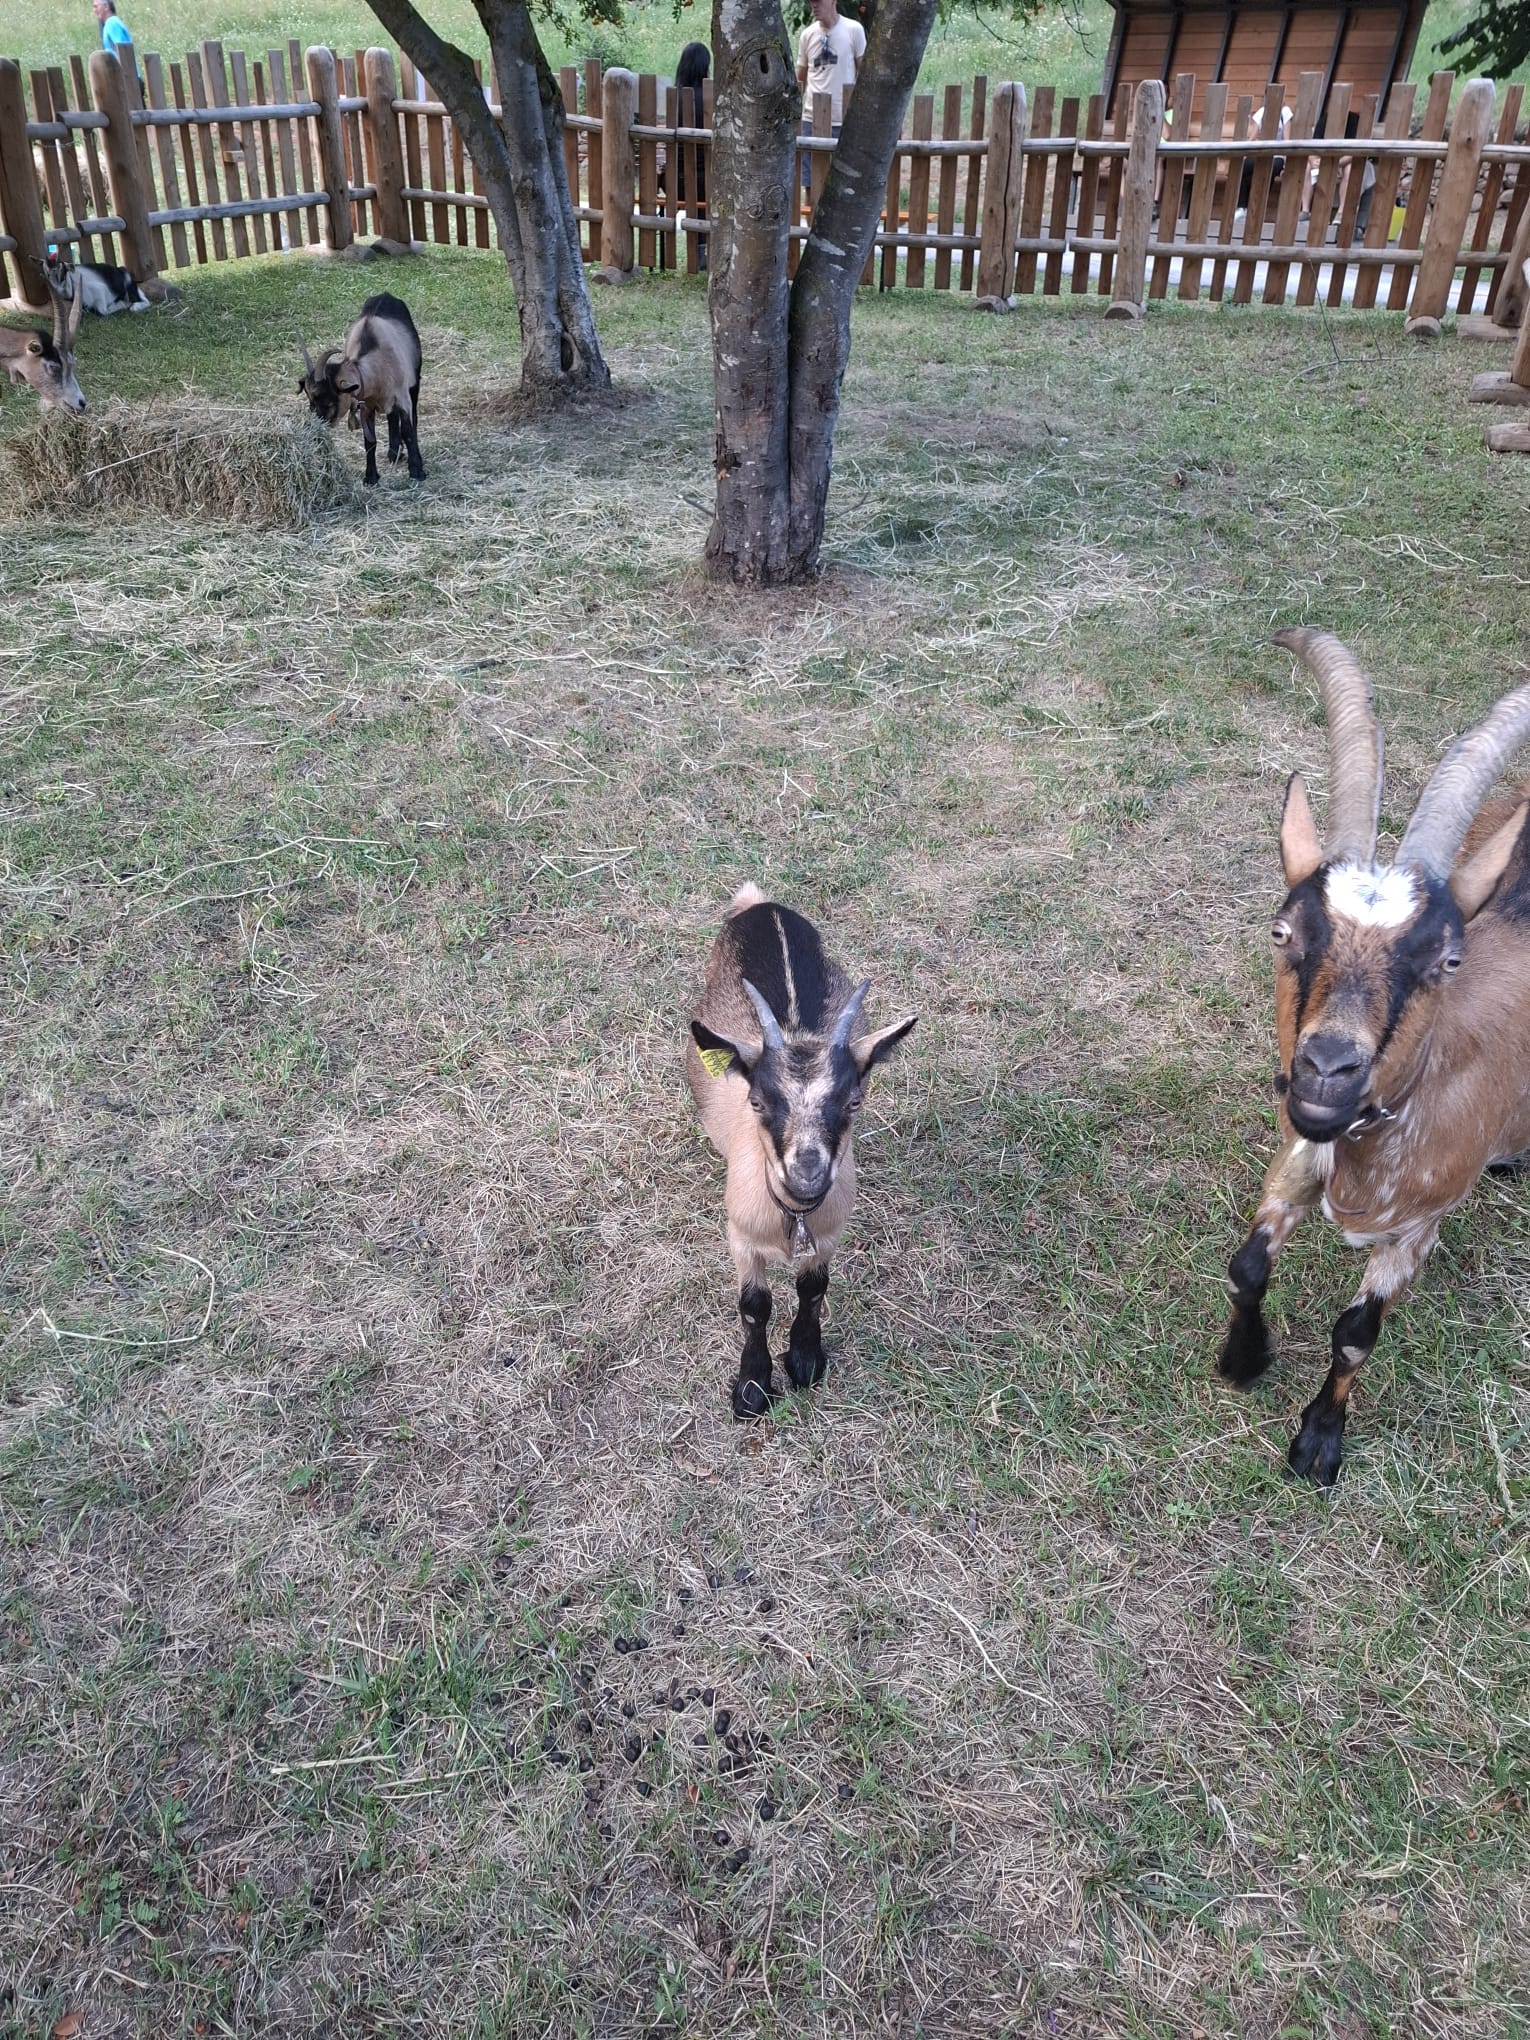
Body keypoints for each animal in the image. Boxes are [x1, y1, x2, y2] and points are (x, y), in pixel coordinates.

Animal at [298, 292, 424, 485]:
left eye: (327, 397)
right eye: (310, 398)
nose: (318, 424)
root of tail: (386, 294)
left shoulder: (402, 397)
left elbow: (408, 431)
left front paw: (417, 470)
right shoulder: (366, 405)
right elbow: (369, 442)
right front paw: (371, 477)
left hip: (414, 380)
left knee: (412, 418)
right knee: (391, 417)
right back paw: (393, 453)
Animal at [687, 886, 916, 1419]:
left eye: (854, 1101)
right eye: (757, 1102)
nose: (807, 1173)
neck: (792, 1216)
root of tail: (761, 905)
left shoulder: (829, 1232)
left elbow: (813, 1289)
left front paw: (806, 1360)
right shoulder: (740, 1237)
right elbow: (754, 1305)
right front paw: (752, 1387)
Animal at [1219, 628, 1530, 1484]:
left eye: (1447, 960)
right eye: (1282, 931)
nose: (1327, 1069)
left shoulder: (1418, 1227)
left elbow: (1357, 1333)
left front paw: (1318, 1443)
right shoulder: (1297, 1156)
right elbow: (1248, 1268)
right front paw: (1242, 1360)